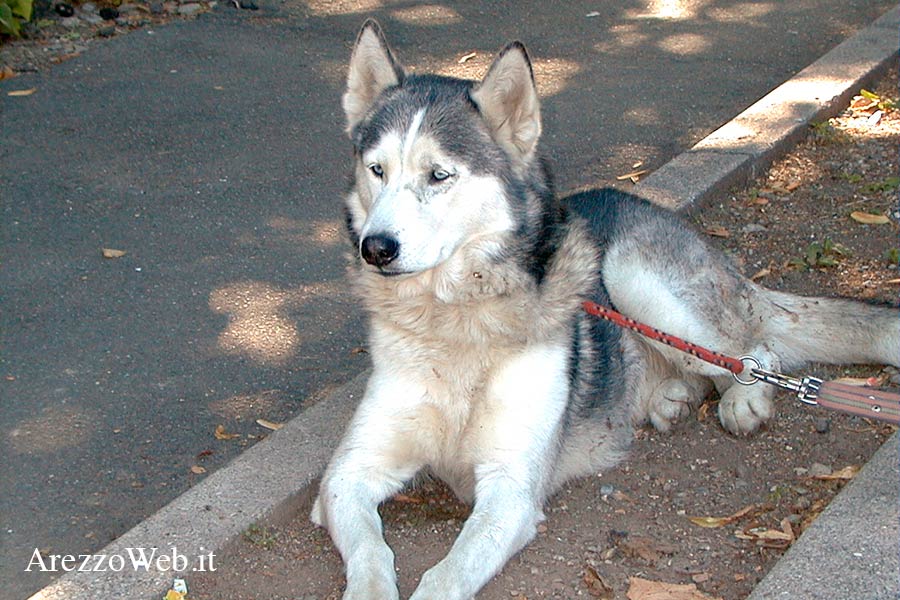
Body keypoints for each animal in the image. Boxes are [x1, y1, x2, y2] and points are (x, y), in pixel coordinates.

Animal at [312, 21, 900, 596]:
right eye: (377, 170)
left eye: (439, 175)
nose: (375, 247)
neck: (454, 322)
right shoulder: (347, 475)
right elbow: (371, 553)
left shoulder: (510, 488)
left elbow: (445, 575)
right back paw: (669, 398)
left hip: (634, 278)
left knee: (754, 352)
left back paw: (744, 400)